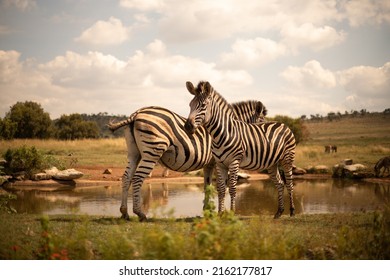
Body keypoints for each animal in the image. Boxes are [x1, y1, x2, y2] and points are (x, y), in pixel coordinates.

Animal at [109, 100, 268, 221]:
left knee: (126, 178)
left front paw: (207, 211)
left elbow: (207, 185)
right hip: (151, 151)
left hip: (134, 153)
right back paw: (140, 213)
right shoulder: (218, 162)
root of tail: (137, 113)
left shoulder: (209, 164)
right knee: (137, 179)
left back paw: (124, 213)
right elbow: (220, 186)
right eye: (262, 122)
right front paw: (217, 212)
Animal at [184, 81, 298, 219]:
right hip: (272, 164)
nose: (187, 127)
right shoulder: (220, 164)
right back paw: (279, 212)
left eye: (203, 105)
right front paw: (220, 214)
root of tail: (283, 124)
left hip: (287, 159)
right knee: (280, 184)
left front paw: (232, 213)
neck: (221, 134)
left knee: (289, 183)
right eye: (190, 105)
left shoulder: (234, 161)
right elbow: (221, 189)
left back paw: (292, 211)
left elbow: (232, 188)